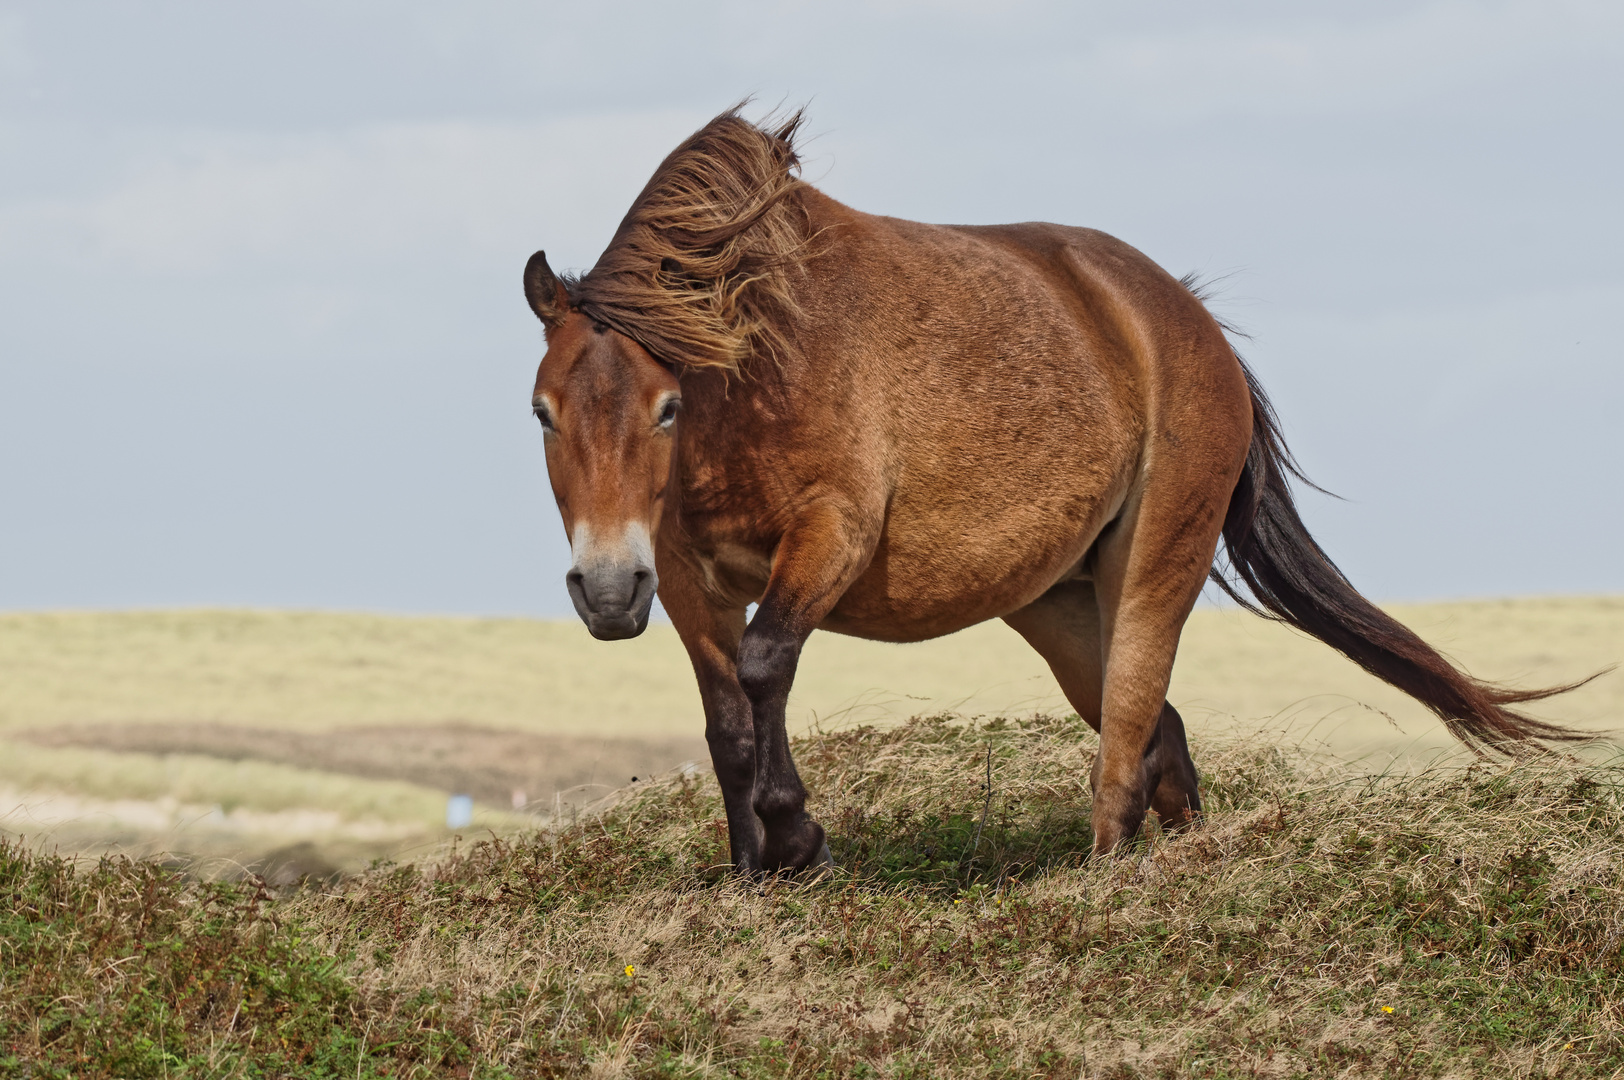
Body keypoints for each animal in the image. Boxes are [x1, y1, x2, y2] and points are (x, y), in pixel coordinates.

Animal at [519, 105, 1585, 870]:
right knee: (1158, 732)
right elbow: (726, 717)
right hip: (1056, 604)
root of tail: (1192, 322)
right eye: (542, 412)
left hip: (1151, 570)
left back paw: (1105, 868)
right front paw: (753, 867)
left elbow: (765, 666)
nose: (605, 593)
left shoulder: (830, 538)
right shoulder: (683, 576)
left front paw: (799, 838)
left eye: (666, 407)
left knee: (1129, 730)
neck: (754, 364)